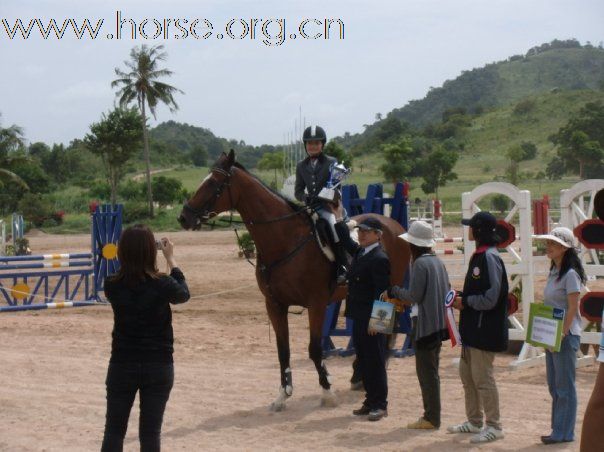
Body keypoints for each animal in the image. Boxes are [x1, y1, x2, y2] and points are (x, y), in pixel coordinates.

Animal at [176, 150, 410, 412]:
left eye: (213, 183)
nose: (184, 217)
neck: (284, 240)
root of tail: (393, 224)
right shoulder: (275, 305)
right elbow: (283, 350)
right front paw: (283, 394)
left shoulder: (316, 304)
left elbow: (315, 349)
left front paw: (327, 393)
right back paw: (359, 376)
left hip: (386, 291)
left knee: (387, 331)